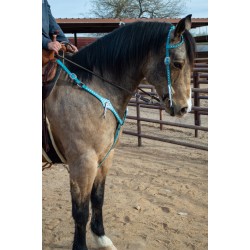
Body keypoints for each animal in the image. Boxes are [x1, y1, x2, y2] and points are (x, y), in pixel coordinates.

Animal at [43, 15, 195, 250]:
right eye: (178, 64)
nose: (185, 108)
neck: (93, 88)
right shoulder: (82, 162)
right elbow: (80, 211)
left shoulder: (105, 157)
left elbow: (98, 199)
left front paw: (101, 238)